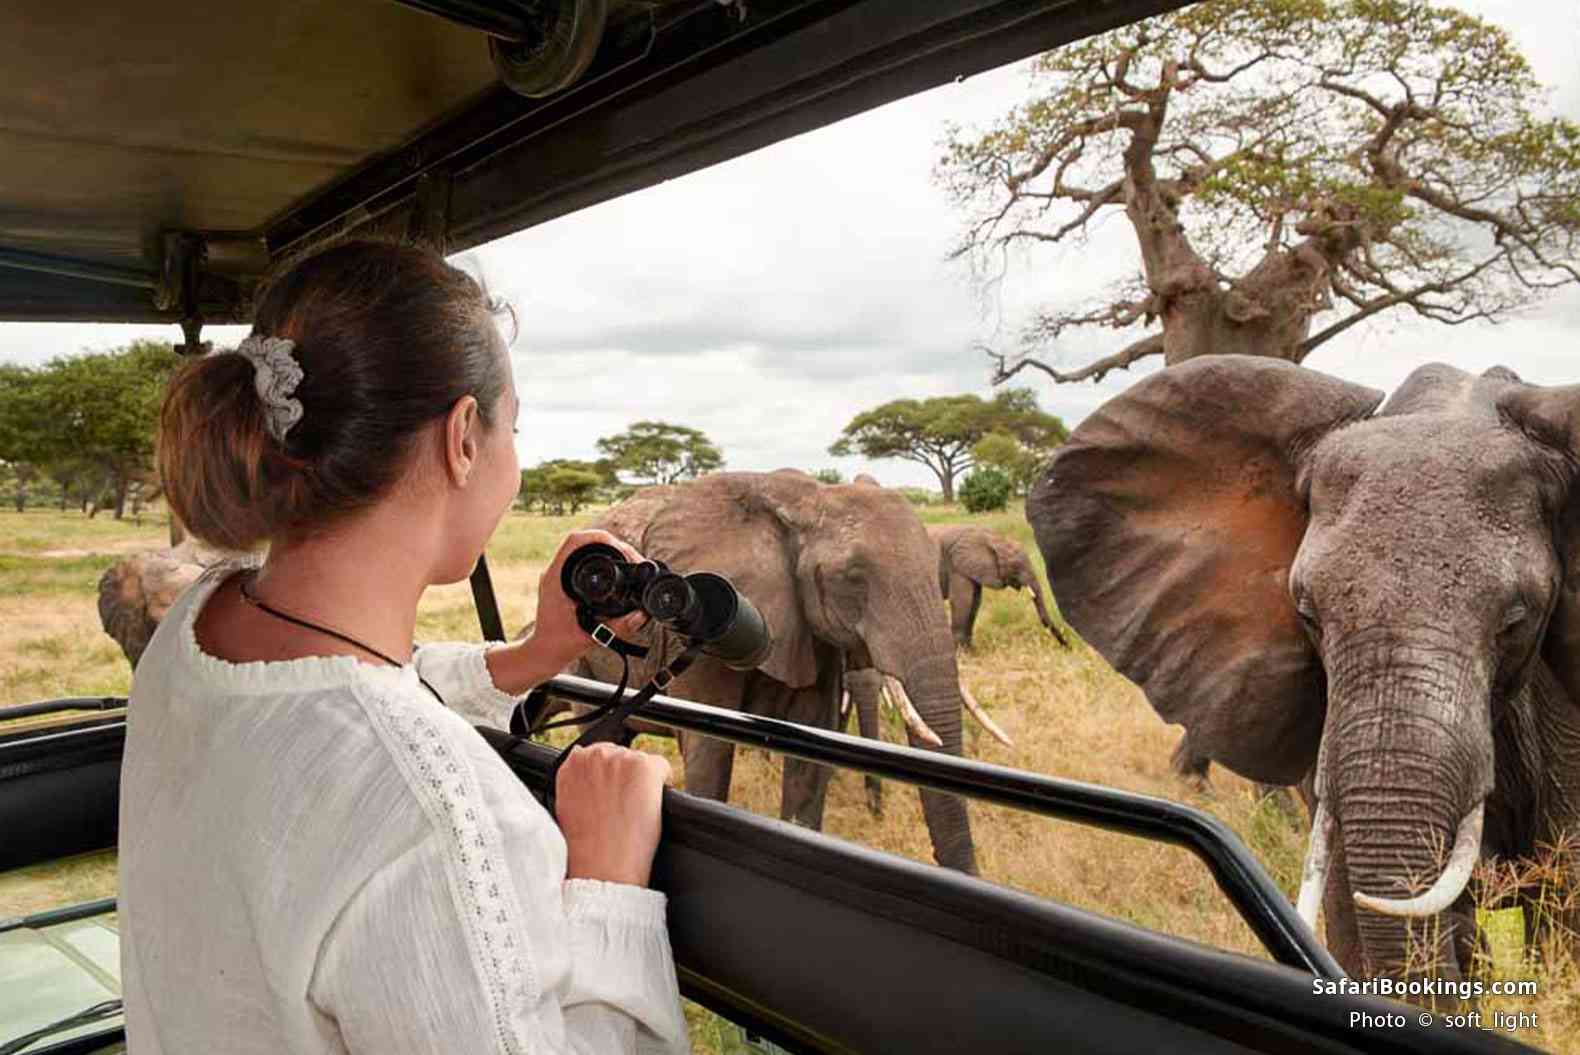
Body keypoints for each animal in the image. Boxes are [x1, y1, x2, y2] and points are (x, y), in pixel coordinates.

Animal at [928, 524, 1069, 650]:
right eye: (1016, 565)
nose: (1067, 646)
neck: (993, 538)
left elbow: (975, 603)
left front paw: (971, 650)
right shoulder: (957, 566)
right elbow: (962, 601)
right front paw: (961, 652)